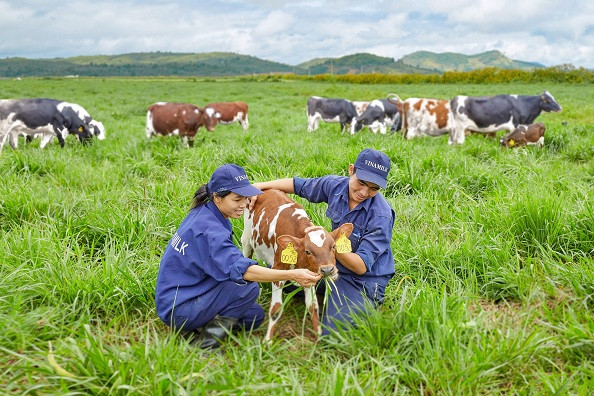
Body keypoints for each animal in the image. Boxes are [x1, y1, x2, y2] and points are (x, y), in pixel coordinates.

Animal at [240, 189, 352, 340]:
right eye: (308, 251)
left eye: (333, 246)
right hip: (246, 240)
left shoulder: (309, 274)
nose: (328, 270)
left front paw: (318, 336)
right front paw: (267, 341)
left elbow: (313, 307)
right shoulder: (277, 271)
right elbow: (276, 310)